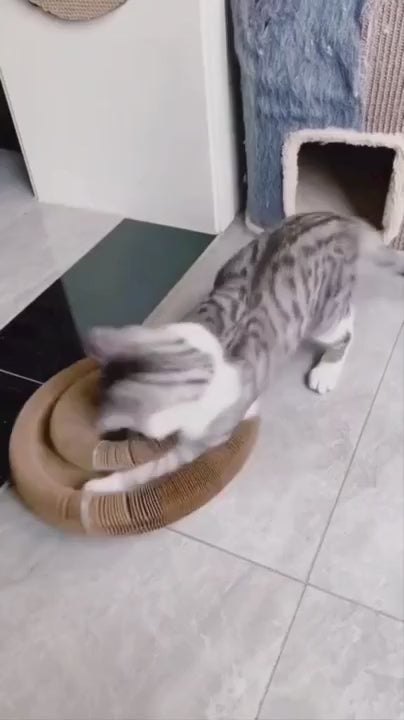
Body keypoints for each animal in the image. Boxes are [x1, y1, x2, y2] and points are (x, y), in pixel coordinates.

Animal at [81, 208, 400, 500]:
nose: (126, 436)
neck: (203, 361)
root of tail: (339, 217)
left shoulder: (203, 439)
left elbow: (148, 469)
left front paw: (97, 487)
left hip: (324, 316)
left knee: (347, 327)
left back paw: (326, 372)